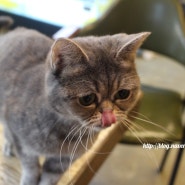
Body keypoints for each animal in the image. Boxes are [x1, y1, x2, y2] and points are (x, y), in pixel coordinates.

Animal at [0, 27, 149, 185]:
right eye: (87, 99)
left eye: (123, 93)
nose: (109, 116)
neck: (67, 132)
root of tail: (19, 29)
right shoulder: (20, 140)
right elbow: (30, 166)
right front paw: (29, 180)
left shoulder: (65, 159)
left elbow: (50, 177)